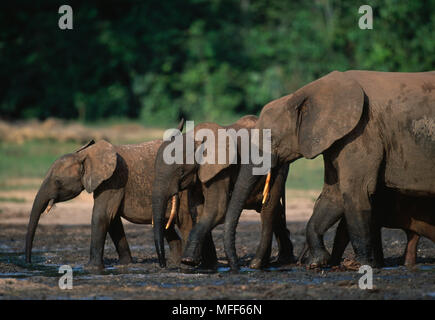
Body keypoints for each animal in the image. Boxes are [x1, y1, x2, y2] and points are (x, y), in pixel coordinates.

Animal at [25, 119, 216, 268]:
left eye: (57, 182)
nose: (28, 263)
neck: (86, 154)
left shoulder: (114, 178)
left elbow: (102, 215)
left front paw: (91, 268)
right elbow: (113, 220)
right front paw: (125, 265)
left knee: (186, 223)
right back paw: (179, 264)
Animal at [153, 115, 296, 270]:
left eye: (180, 172)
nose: (163, 265)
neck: (195, 138)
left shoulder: (220, 171)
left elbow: (217, 210)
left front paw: (188, 261)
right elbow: (198, 210)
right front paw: (207, 265)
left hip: (280, 167)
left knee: (268, 209)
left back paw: (260, 264)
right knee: (274, 209)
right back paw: (277, 261)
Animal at [225, 70, 435, 270]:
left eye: (271, 138)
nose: (240, 267)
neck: (302, 93)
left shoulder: (361, 132)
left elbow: (356, 192)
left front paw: (362, 265)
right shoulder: (340, 139)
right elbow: (333, 195)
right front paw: (317, 262)